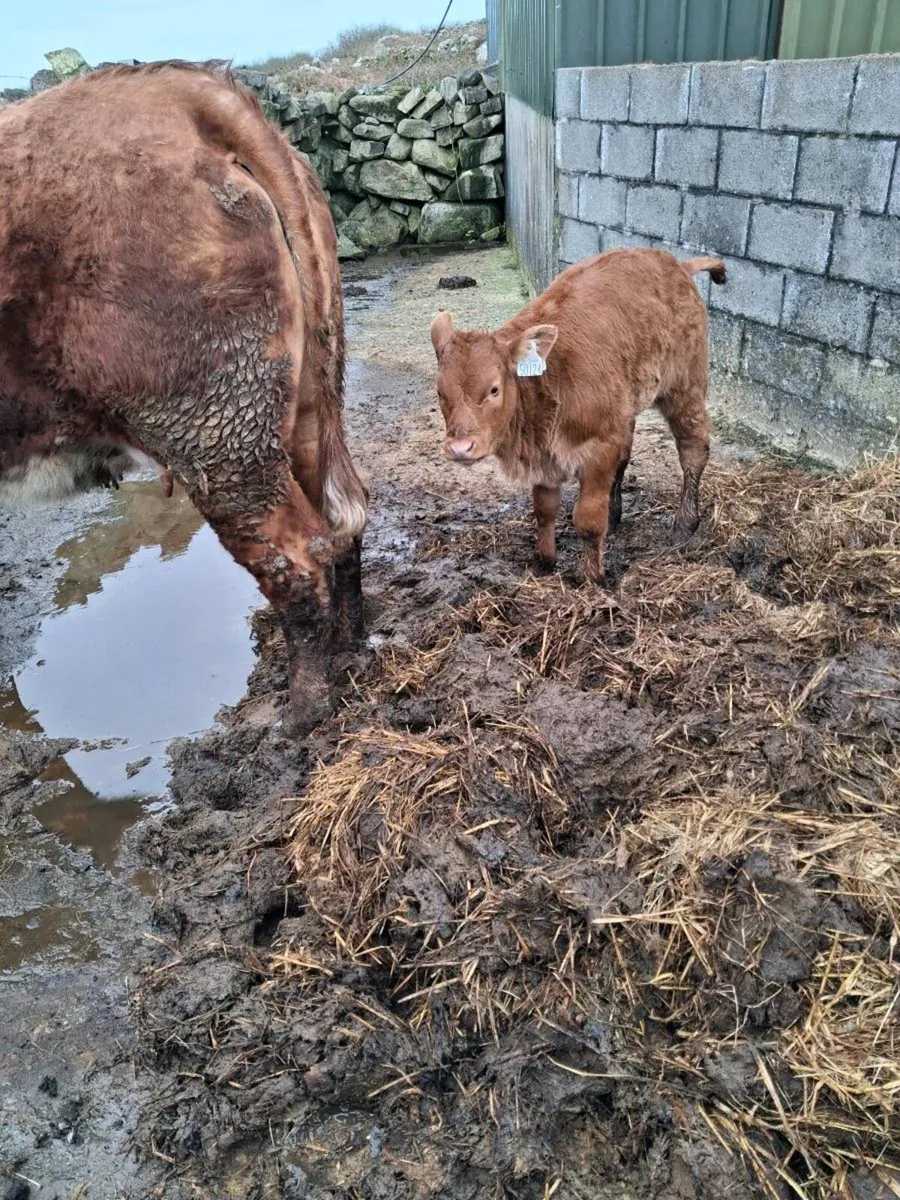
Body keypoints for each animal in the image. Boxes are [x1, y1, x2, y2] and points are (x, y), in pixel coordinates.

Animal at [0, 61, 368, 732]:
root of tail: (189, 93)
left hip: (217, 434)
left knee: (297, 557)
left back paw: (302, 710)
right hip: (306, 405)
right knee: (343, 517)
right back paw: (352, 645)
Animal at [430, 248, 726, 583]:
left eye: (494, 389)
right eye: (440, 392)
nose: (460, 448)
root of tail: (677, 263)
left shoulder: (600, 446)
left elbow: (587, 519)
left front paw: (592, 580)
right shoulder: (547, 454)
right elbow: (544, 509)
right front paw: (545, 561)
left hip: (685, 386)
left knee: (693, 450)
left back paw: (684, 525)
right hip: (628, 406)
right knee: (626, 457)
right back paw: (616, 513)